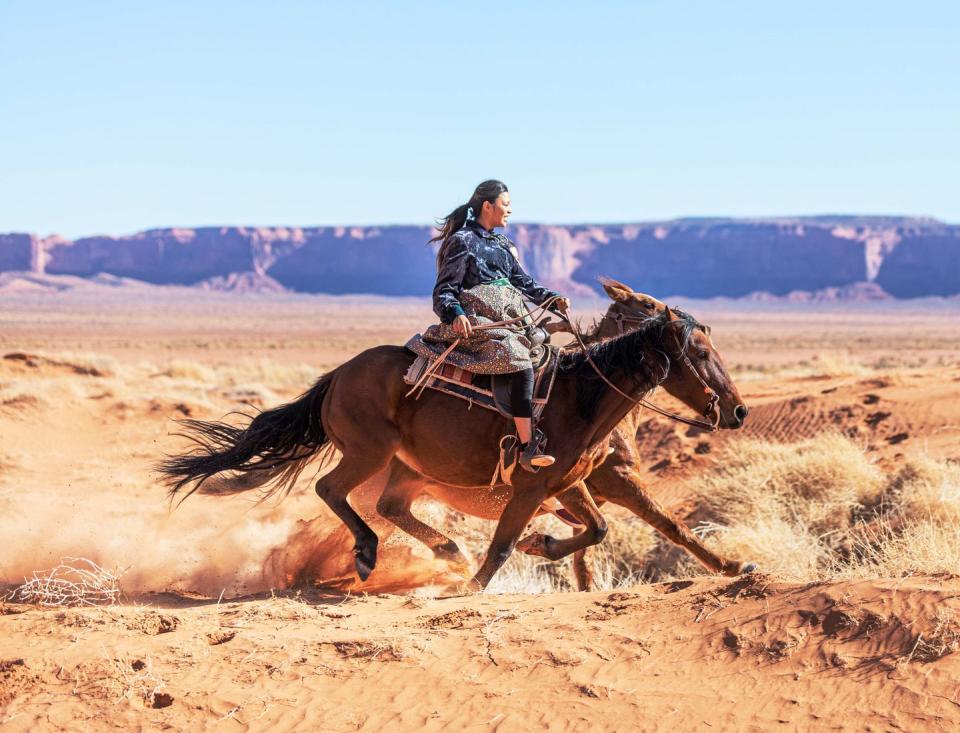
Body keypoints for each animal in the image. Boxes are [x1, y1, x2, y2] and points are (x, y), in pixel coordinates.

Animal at [159, 290, 752, 588]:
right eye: (700, 352)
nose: (739, 410)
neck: (581, 398)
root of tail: (337, 376)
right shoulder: (537, 488)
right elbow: (508, 543)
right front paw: (482, 583)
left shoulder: (569, 486)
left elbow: (602, 531)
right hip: (369, 453)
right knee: (333, 493)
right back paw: (370, 556)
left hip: (407, 469)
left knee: (388, 507)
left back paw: (442, 551)